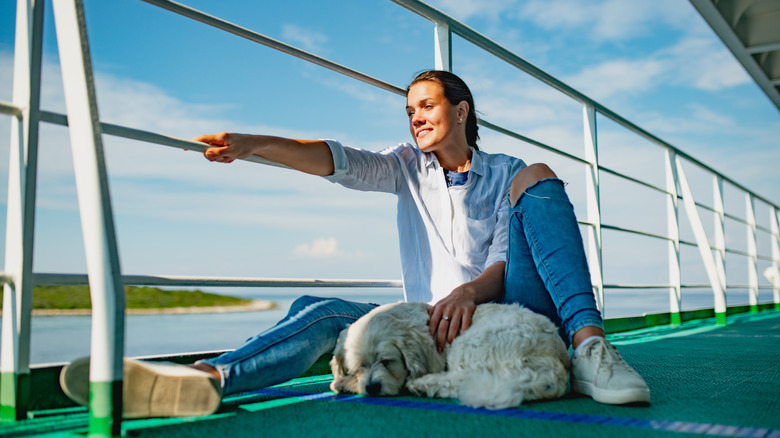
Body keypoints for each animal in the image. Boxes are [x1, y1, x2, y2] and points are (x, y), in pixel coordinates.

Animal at [326, 302, 568, 408]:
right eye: (358, 368)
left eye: (387, 362)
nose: (372, 387)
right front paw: (347, 380)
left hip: (470, 343)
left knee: (463, 379)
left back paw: (422, 385)